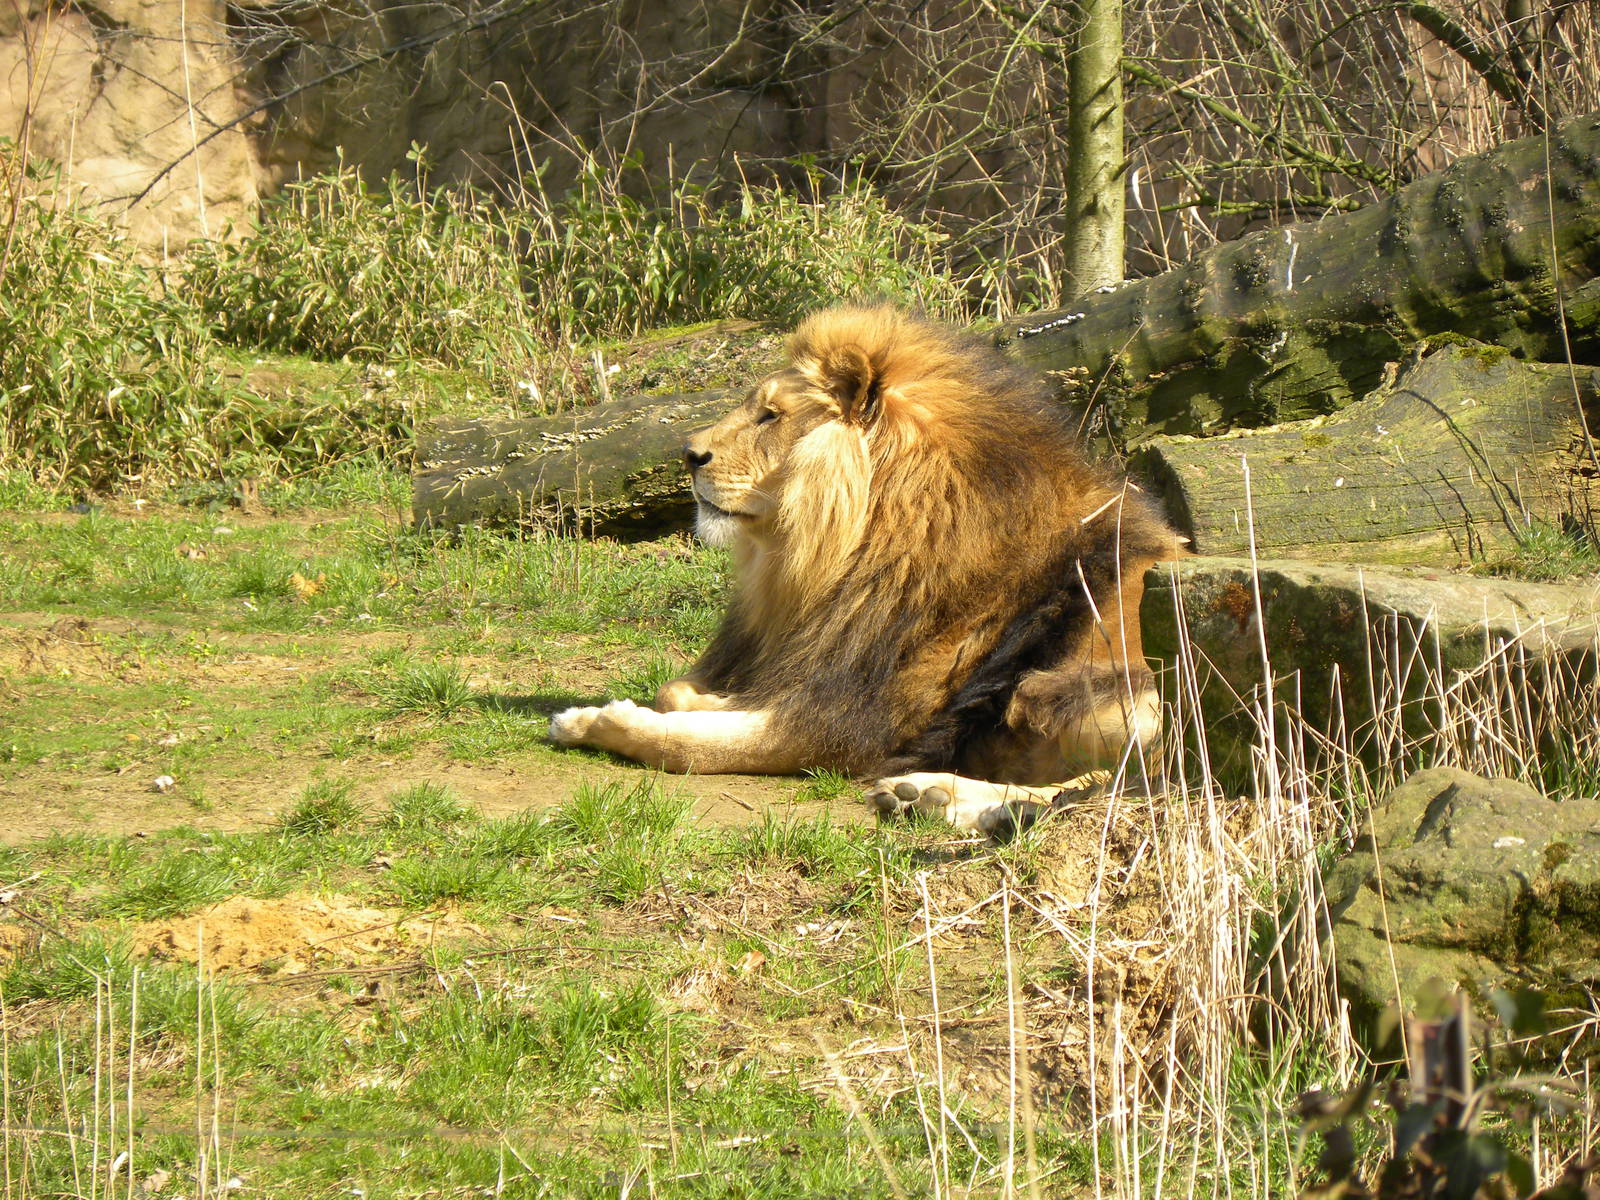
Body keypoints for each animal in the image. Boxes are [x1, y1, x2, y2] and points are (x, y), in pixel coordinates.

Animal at [549, 304, 1185, 834]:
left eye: (770, 416)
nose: (687, 455)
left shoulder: (848, 726)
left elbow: (695, 744)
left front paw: (590, 721)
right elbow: (682, 694)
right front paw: (701, 701)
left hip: (1122, 692)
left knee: (1117, 792)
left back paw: (940, 796)